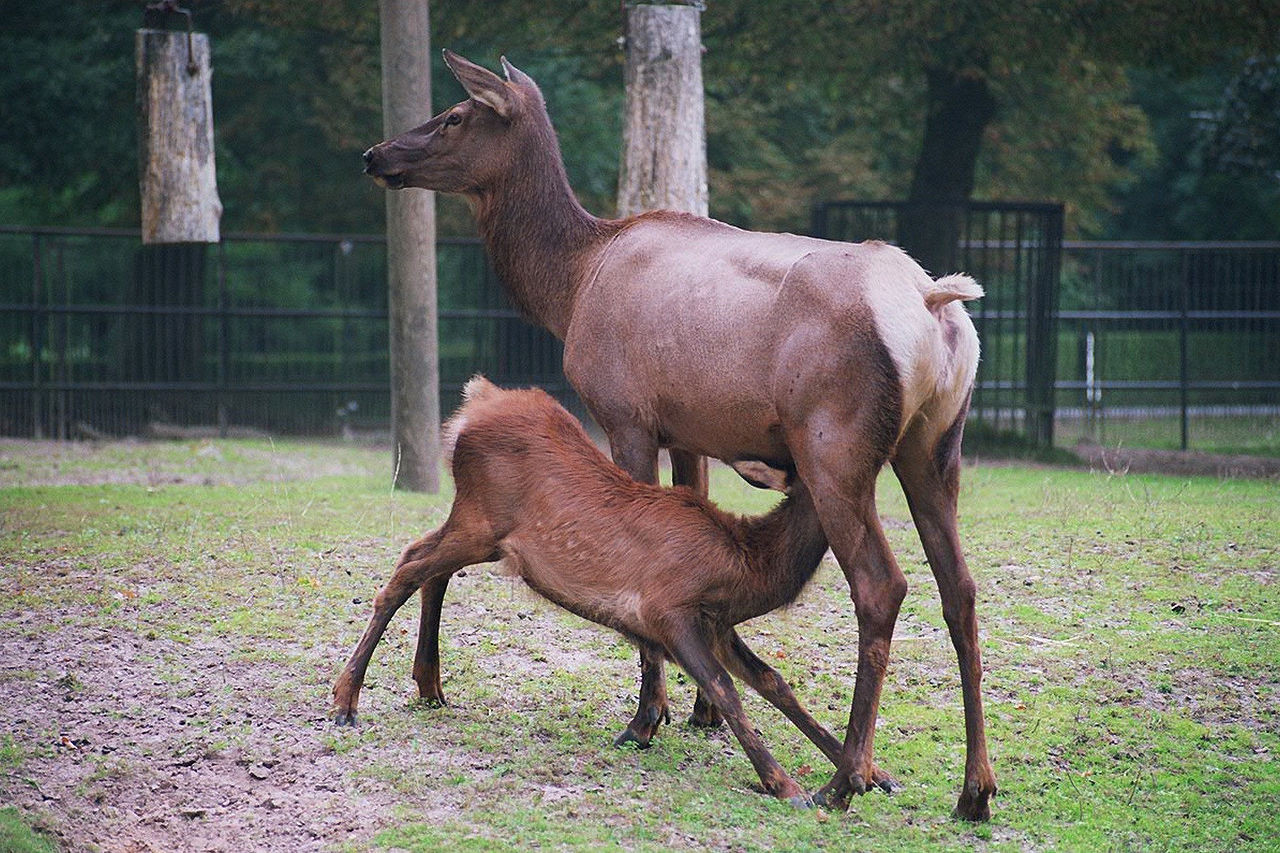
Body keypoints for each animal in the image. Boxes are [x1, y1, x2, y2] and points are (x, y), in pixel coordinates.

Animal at [366, 48, 993, 819]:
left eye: (455, 114)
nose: (375, 154)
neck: (569, 285)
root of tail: (936, 303)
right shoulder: (691, 428)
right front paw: (702, 712)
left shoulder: (626, 411)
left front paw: (647, 718)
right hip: (934, 447)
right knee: (960, 588)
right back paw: (974, 790)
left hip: (834, 447)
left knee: (881, 587)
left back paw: (845, 779)